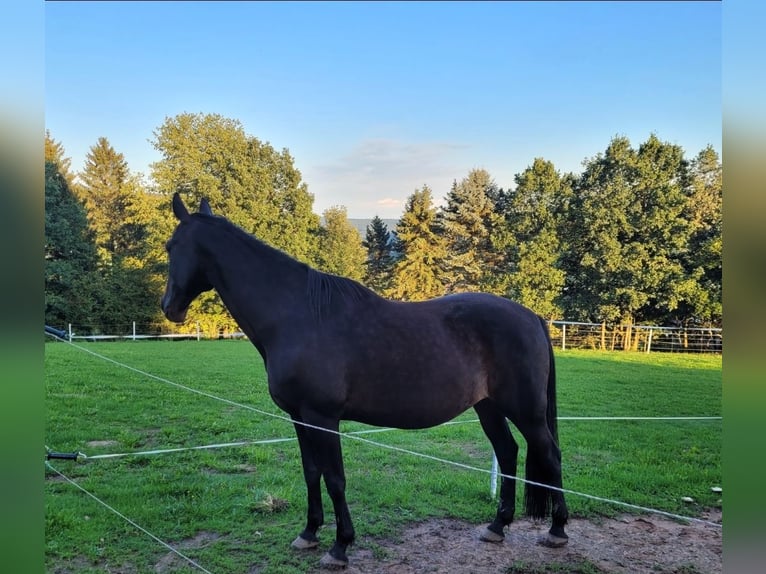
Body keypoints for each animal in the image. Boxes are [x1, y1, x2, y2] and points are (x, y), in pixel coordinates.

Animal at [162, 196, 568, 568]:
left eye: (170, 246)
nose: (169, 307)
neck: (296, 316)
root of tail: (532, 317)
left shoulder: (323, 418)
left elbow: (335, 479)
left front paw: (340, 547)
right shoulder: (299, 417)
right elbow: (311, 472)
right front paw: (308, 533)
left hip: (527, 411)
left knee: (550, 454)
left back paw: (557, 531)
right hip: (488, 407)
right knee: (508, 451)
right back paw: (497, 527)